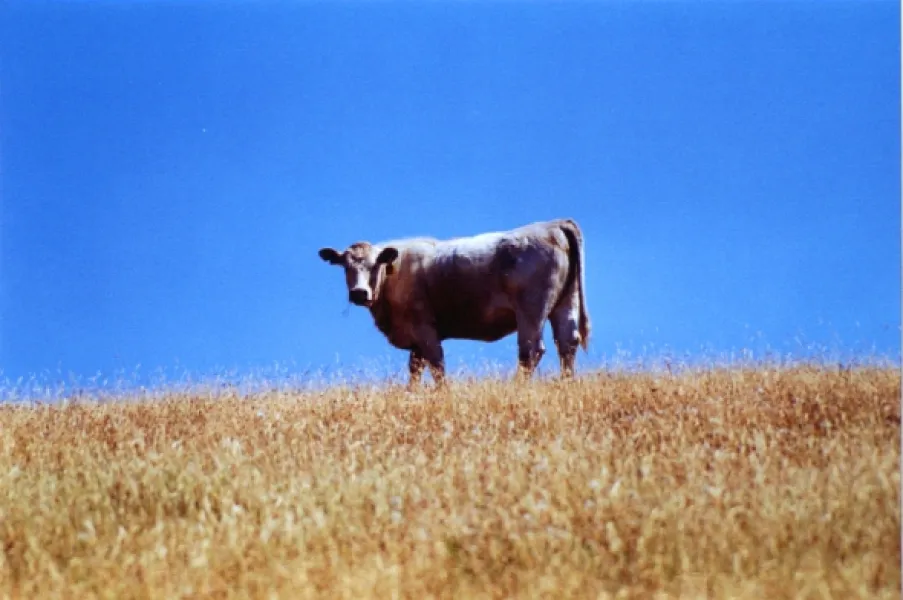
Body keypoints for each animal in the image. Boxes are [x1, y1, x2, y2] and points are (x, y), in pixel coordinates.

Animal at [317, 218, 591, 387]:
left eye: (375, 264)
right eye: (345, 266)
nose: (359, 293)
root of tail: (554, 224)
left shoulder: (424, 328)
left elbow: (436, 364)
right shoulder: (415, 338)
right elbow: (415, 369)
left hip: (531, 309)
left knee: (531, 350)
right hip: (565, 303)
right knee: (567, 343)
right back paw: (567, 382)